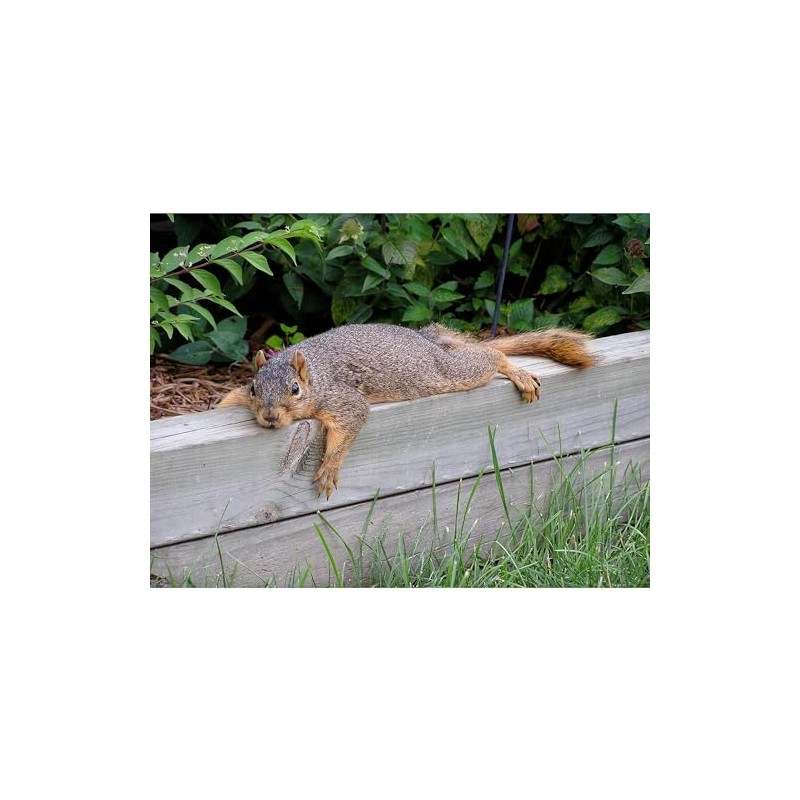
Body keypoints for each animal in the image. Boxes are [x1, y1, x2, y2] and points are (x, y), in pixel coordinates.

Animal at [218, 323, 596, 498]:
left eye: (295, 389)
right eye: (254, 389)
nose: (269, 418)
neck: (316, 374)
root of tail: (430, 343)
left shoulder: (343, 399)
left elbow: (349, 424)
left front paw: (328, 468)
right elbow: (231, 398)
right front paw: (223, 402)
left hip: (452, 373)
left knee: (491, 357)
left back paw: (514, 370)